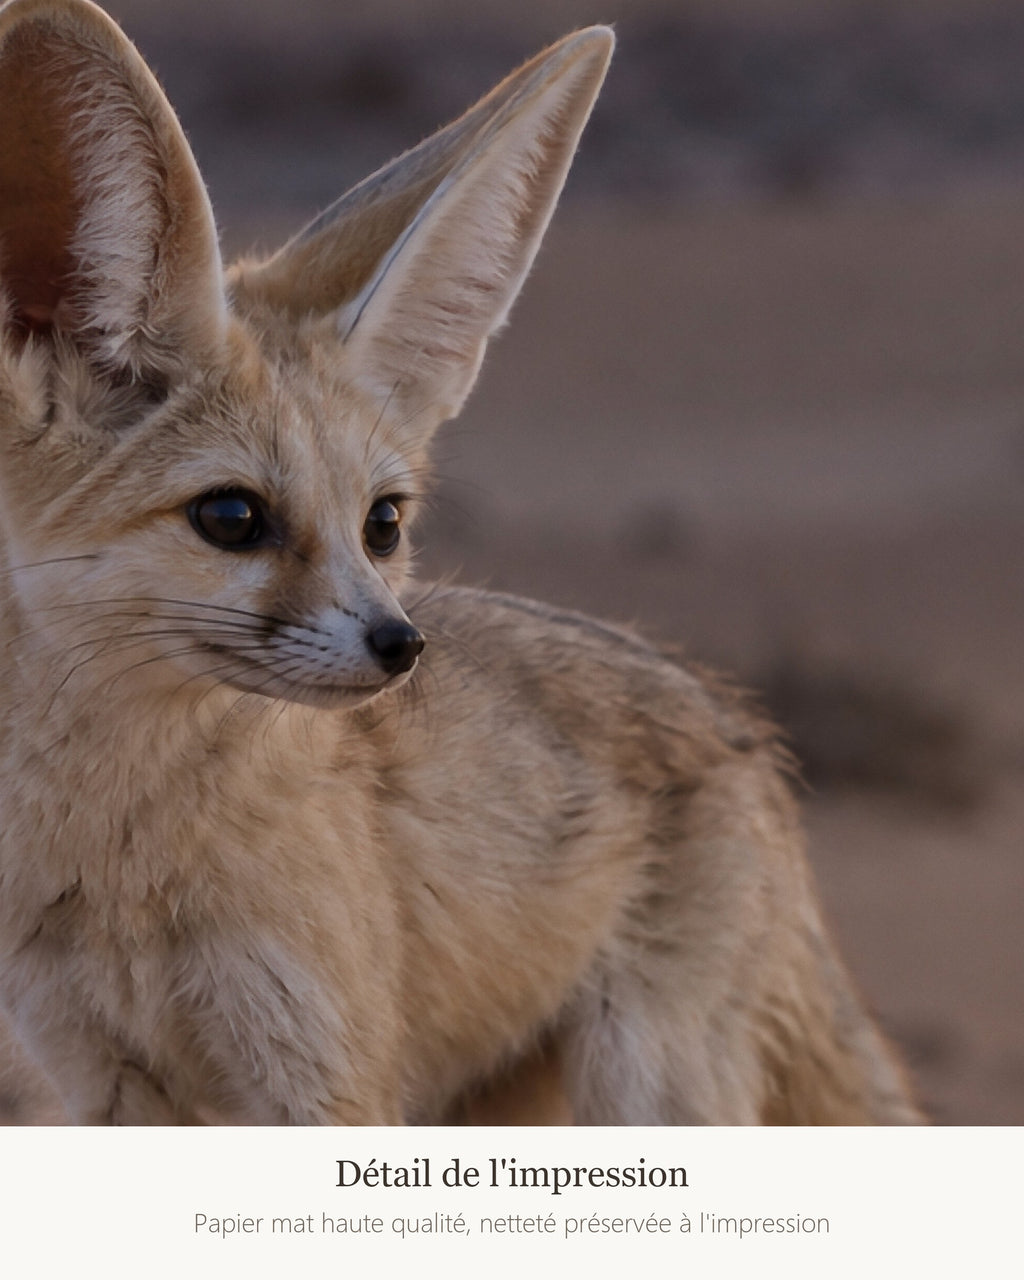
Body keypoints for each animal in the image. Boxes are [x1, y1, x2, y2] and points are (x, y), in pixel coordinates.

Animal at [0, 0, 921, 1126]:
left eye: (382, 523)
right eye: (231, 516)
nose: (402, 645)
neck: (121, 861)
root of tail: (739, 727)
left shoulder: (320, 1078)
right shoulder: (97, 1080)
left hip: (646, 1086)